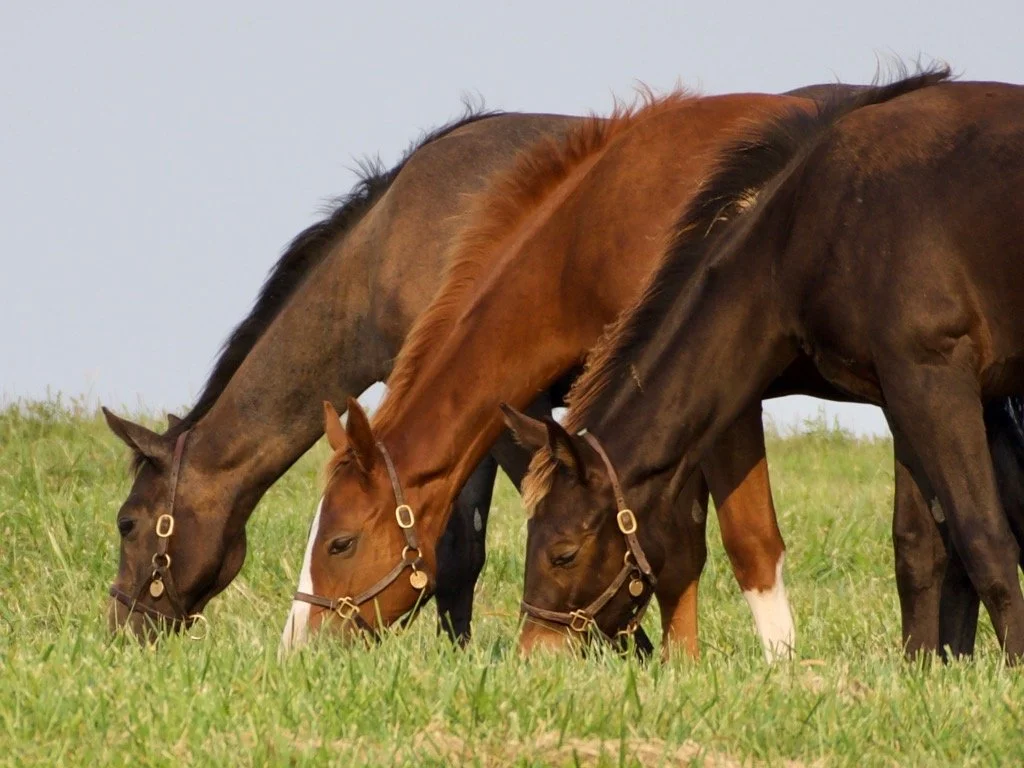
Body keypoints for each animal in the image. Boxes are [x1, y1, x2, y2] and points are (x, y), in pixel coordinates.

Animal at [508, 72, 1024, 662]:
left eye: (564, 553)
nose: (533, 653)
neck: (813, 223)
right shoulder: (900, 390)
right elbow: (916, 547)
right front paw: (919, 667)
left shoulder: (935, 379)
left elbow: (985, 537)